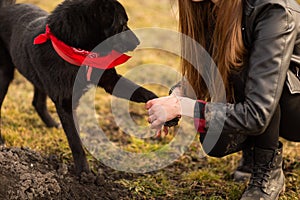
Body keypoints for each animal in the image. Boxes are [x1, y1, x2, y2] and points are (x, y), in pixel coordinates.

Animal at [0, 0, 159, 174]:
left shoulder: (110, 81)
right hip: (4, 76)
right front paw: (84, 172)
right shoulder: (65, 105)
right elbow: (75, 141)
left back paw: (51, 124)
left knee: (37, 102)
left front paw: (161, 104)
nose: (138, 42)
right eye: (122, 24)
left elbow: (138, 90)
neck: (80, 53)